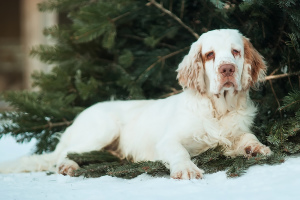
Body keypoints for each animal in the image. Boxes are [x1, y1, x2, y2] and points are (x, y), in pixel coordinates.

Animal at [0, 28, 272, 180]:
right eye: (209, 55)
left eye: (236, 52)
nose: (227, 70)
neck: (219, 109)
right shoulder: (169, 141)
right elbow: (180, 152)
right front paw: (187, 170)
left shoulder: (231, 134)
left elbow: (247, 137)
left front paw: (257, 148)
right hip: (103, 129)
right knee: (67, 154)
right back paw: (68, 166)